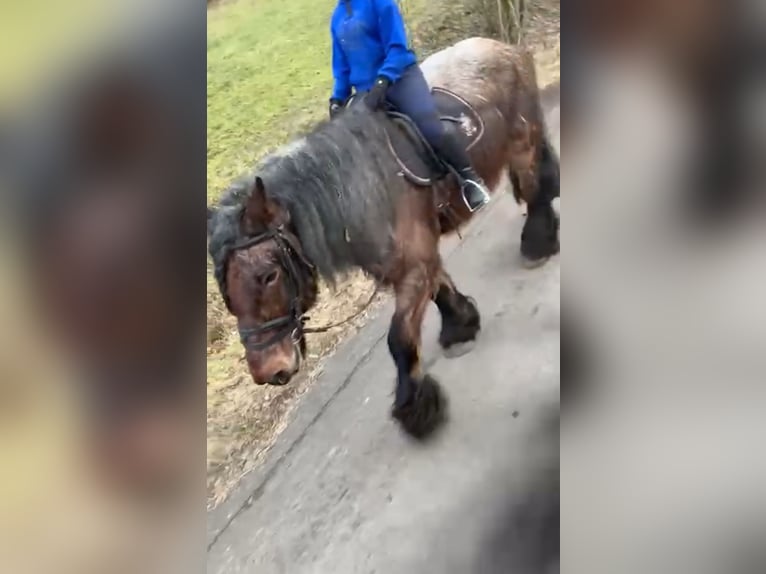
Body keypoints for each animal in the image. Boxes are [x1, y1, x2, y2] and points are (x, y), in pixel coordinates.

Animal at [207, 37, 560, 440]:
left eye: (268, 276)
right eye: (226, 290)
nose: (269, 371)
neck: (358, 187)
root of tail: (499, 45)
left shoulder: (413, 266)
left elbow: (399, 338)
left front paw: (415, 407)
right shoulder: (412, 262)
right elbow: (441, 289)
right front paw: (461, 325)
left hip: (522, 145)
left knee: (536, 192)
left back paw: (538, 244)